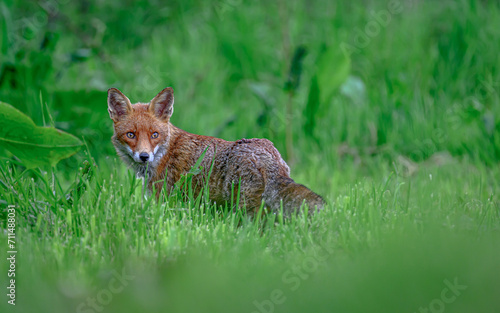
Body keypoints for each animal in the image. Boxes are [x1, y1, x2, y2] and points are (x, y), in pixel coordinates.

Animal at [107, 87, 324, 214]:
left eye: (154, 135)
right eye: (131, 135)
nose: (144, 156)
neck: (166, 152)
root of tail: (267, 153)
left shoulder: (166, 200)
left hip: (244, 207)